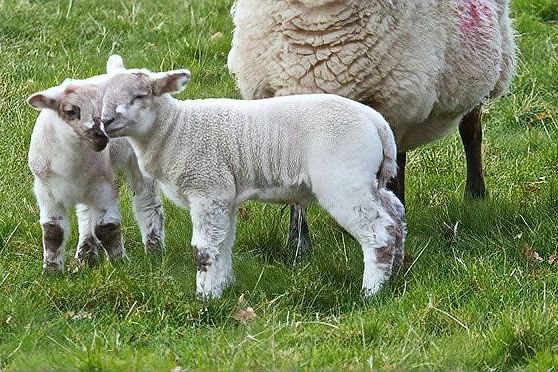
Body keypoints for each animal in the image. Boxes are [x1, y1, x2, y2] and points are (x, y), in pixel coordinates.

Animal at [26, 62, 164, 272]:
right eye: (71, 111)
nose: (102, 135)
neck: (70, 164)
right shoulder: (46, 190)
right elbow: (53, 231)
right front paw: (51, 271)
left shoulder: (104, 186)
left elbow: (107, 228)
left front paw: (120, 264)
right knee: (85, 213)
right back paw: (86, 253)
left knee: (147, 201)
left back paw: (154, 248)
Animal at [95, 57, 406, 300]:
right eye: (104, 95)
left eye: (139, 96)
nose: (105, 122)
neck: (176, 129)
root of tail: (377, 123)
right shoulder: (223, 195)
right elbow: (223, 243)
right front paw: (223, 287)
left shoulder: (207, 188)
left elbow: (205, 249)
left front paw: (205, 296)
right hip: (369, 178)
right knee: (395, 214)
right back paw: (397, 270)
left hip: (343, 177)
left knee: (378, 231)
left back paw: (371, 291)